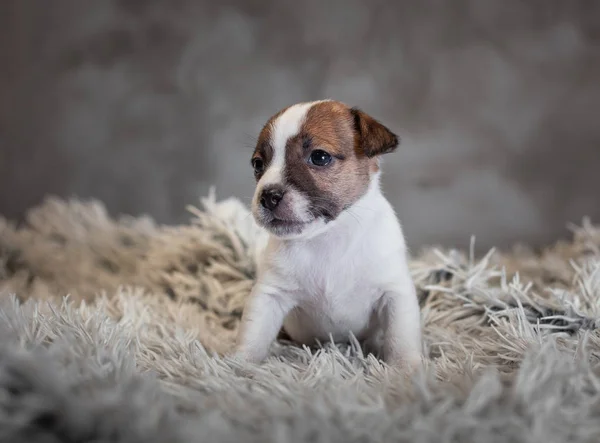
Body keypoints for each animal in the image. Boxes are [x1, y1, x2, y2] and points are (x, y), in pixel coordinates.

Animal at [234, 99, 422, 372]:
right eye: (258, 164)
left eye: (319, 157)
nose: (268, 196)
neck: (327, 237)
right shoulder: (269, 296)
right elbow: (253, 335)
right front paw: (239, 365)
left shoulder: (394, 294)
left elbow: (401, 338)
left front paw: (407, 370)